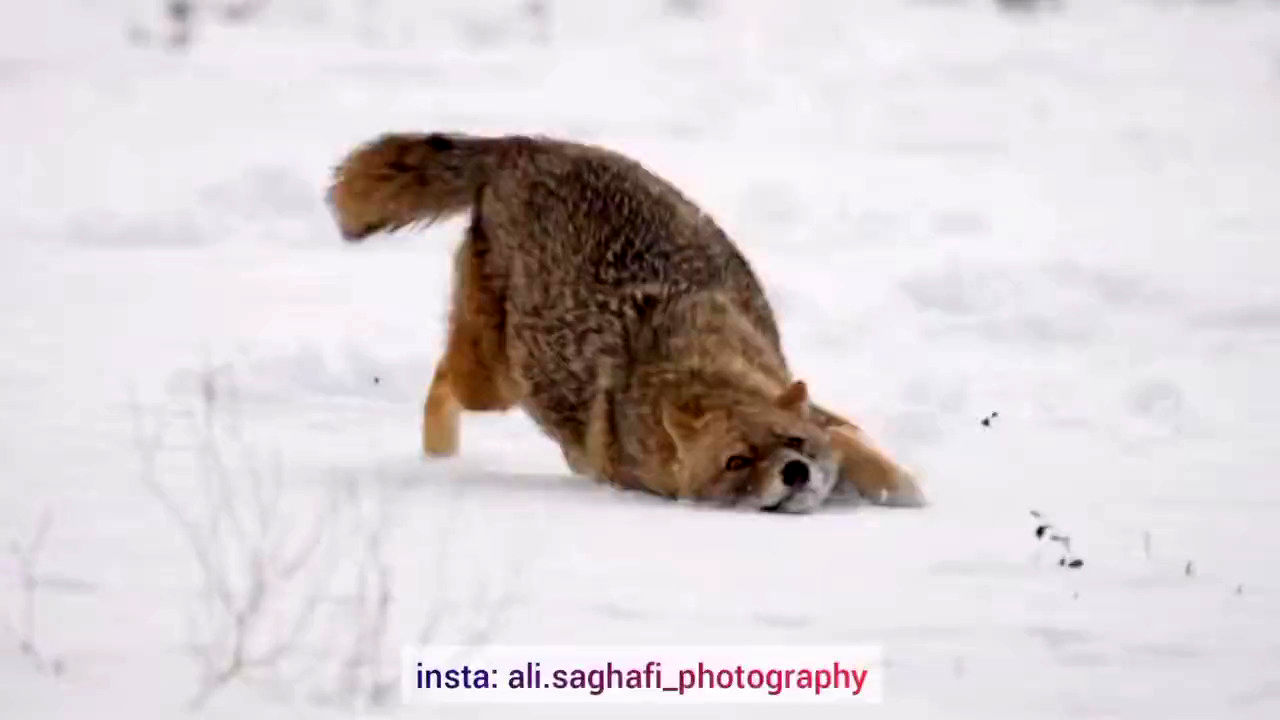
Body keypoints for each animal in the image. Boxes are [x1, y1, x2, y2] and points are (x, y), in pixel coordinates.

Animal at [320, 133, 921, 509]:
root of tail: (523, 147)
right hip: (493, 384)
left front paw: (903, 494)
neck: (695, 374)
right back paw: (438, 460)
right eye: (736, 462)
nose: (795, 473)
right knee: (441, 384)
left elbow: (875, 462)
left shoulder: (822, 416)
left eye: (793, 442)